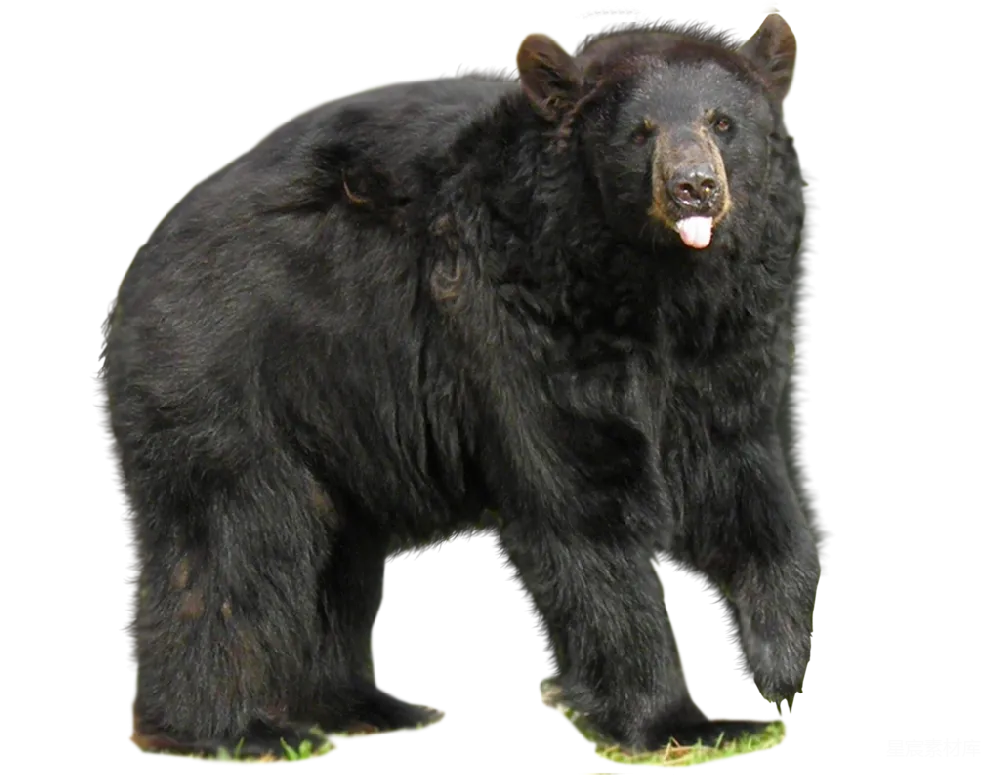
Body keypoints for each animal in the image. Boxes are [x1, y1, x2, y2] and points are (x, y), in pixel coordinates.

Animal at [102, 14, 819, 759]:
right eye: (640, 131)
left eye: (723, 122)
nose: (693, 187)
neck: (653, 284)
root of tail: (149, 258)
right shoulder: (527, 322)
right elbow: (587, 497)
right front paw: (675, 720)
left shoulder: (721, 349)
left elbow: (742, 479)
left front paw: (782, 667)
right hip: (229, 372)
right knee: (231, 543)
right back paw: (235, 729)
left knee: (335, 553)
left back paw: (358, 705)